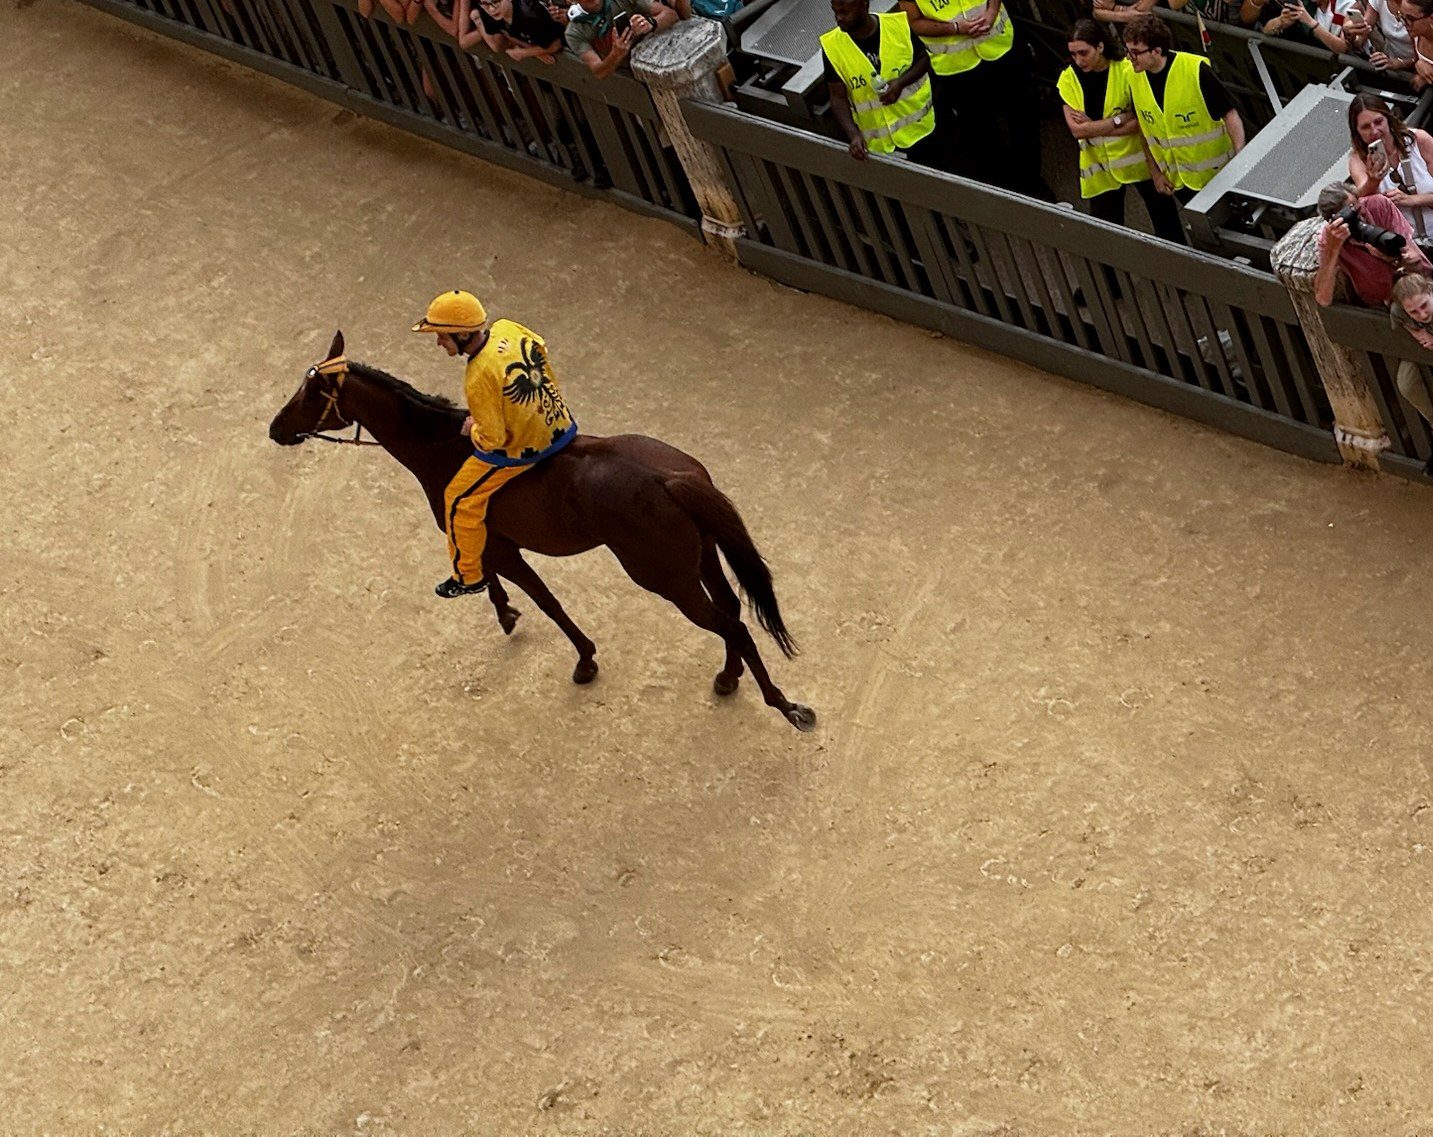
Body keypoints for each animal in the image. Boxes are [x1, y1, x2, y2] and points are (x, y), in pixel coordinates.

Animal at [268, 332, 816, 732]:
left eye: (308, 394)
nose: (274, 429)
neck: (441, 447)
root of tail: (674, 477)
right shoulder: (499, 545)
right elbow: (516, 589)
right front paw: (509, 612)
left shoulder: (493, 542)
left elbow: (543, 600)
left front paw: (579, 656)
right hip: (700, 559)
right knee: (732, 612)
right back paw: (729, 676)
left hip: (665, 578)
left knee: (732, 625)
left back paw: (785, 705)